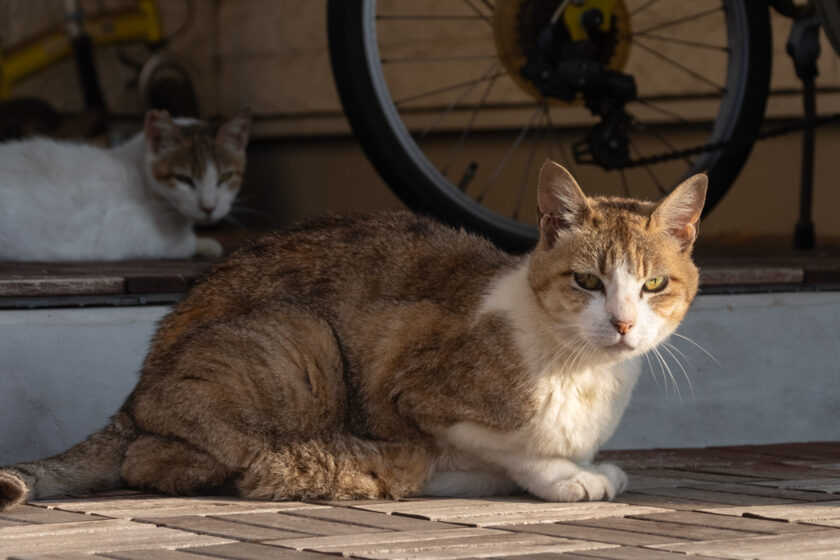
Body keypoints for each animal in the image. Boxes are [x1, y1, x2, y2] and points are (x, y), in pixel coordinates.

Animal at [0, 108, 251, 262]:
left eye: (225, 177)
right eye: (183, 179)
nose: (209, 207)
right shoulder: (127, 234)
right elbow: (182, 245)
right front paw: (206, 244)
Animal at [0, 160, 708, 510]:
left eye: (653, 285)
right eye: (588, 281)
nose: (622, 322)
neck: (584, 371)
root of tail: (134, 391)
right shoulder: (414, 388)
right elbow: (511, 448)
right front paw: (568, 476)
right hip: (304, 337)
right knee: (150, 459)